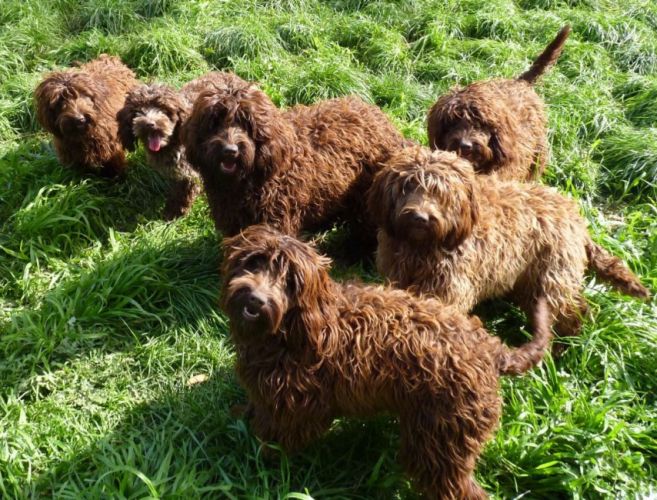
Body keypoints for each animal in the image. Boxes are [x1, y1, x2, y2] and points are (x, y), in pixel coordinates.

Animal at [222, 225, 552, 498]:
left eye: (289, 281)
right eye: (254, 262)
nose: (256, 300)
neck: (295, 328)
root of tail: (489, 349)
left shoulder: (294, 408)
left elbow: (276, 436)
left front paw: (259, 456)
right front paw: (242, 414)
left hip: (441, 443)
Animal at [366, 146, 648, 354]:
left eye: (442, 194)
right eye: (407, 186)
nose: (420, 218)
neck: (424, 247)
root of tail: (575, 217)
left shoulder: (448, 289)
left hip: (551, 279)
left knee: (572, 311)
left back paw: (563, 348)